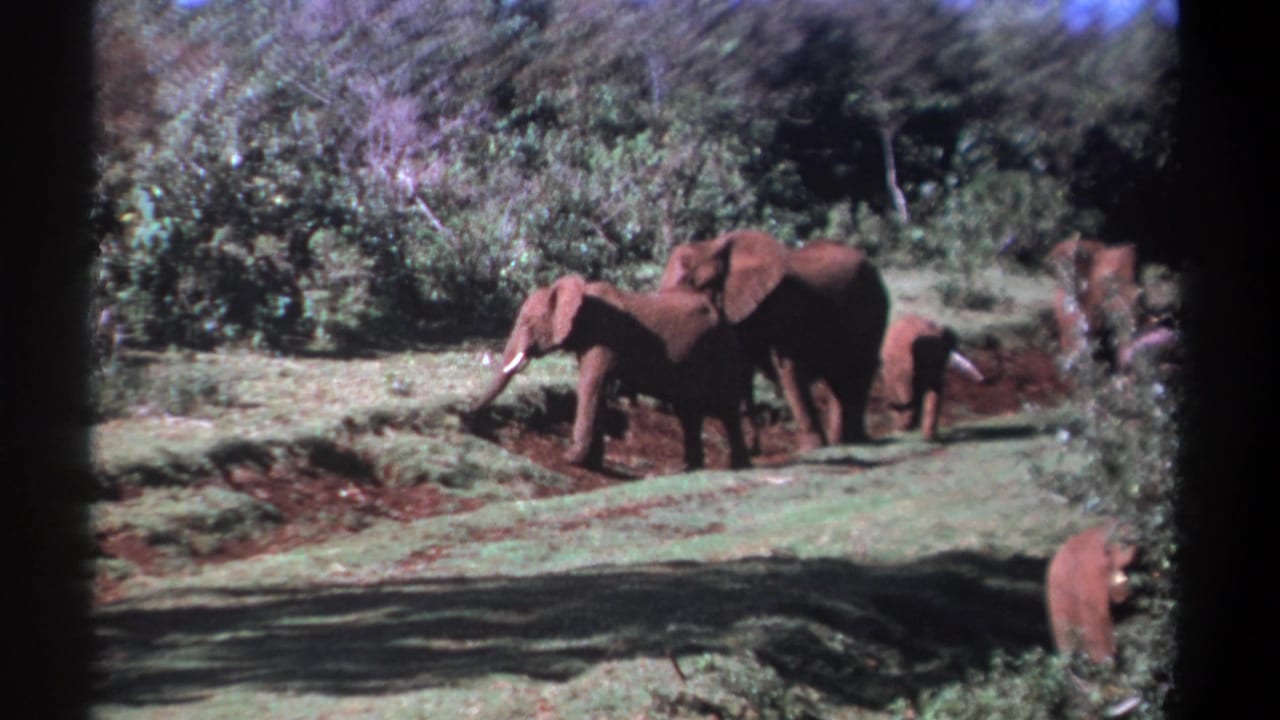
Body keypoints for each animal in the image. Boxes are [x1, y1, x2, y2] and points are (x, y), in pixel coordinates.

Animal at [471, 274, 752, 471]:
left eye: (528, 321)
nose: (469, 413)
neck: (580, 294)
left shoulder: (605, 335)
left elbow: (591, 383)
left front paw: (571, 459)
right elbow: (600, 390)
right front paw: (591, 463)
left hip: (722, 347)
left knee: (725, 405)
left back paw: (738, 467)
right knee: (688, 410)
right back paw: (688, 468)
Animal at [659, 230, 890, 451]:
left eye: (694, 282)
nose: (756, 448)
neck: (713, 244)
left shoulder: (785, 305)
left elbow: (788, 368)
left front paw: (810, 449)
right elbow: (742, 370)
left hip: (874, 305)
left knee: (860, 370)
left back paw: (854, 440)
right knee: (839, 379)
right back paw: (842, 441)